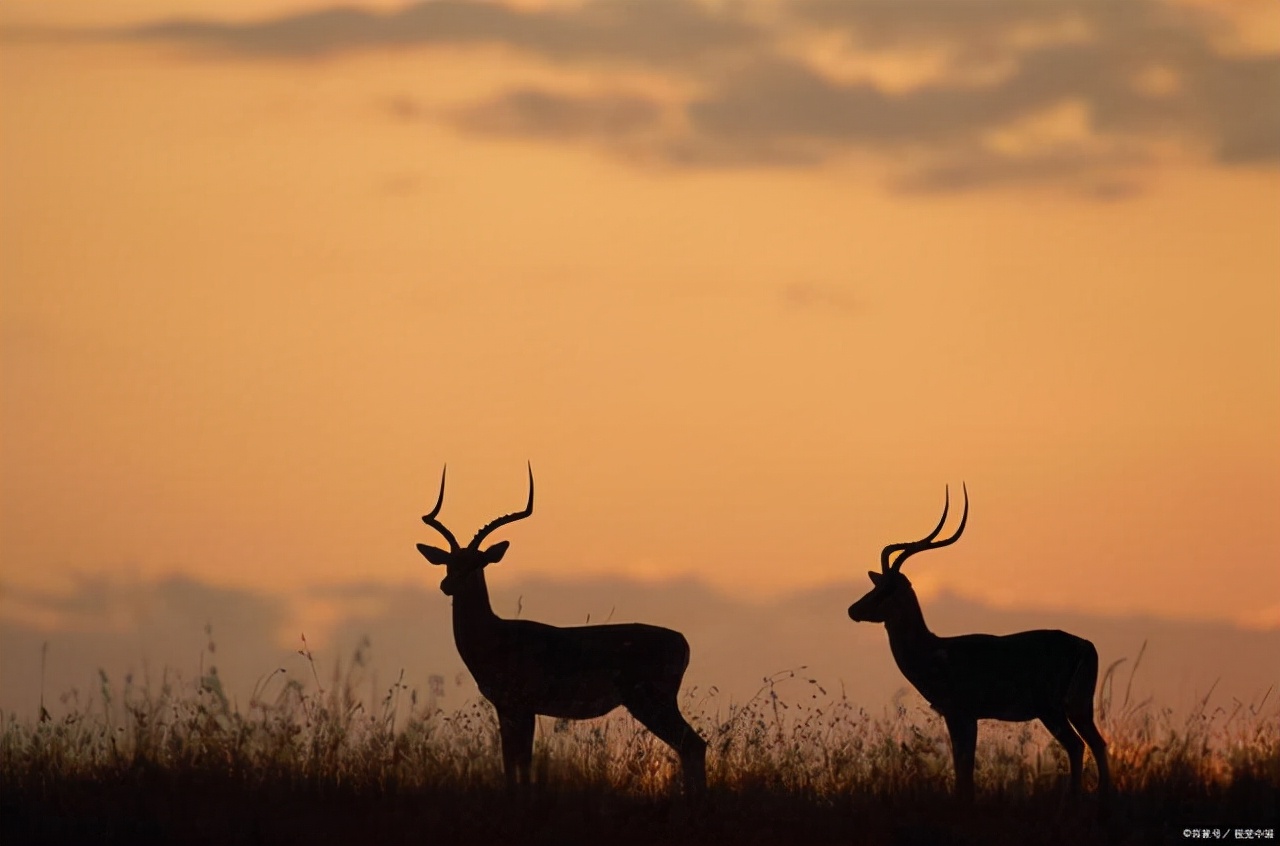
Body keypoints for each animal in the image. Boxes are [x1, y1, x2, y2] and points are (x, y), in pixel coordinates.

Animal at [414, 465, 706, 793]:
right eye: (449, 562)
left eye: (477, 563)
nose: (447, 585)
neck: (496, 638)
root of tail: (682, 641)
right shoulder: (506, 708)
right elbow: (510, 762)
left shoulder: (522, 707)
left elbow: (521, 762)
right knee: (691, 747)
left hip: (651, 702)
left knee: (694, 745)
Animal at [844, 483, 1105, 803]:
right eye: (876, 585)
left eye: (886, 589)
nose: (853, 609)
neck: (933, 651)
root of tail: (1085, 645)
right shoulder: (966, 717)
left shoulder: (960, 714)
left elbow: (964, 771)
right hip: (1080, 707)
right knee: (1098, 744)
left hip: (1052, 710)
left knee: (1077, 746)